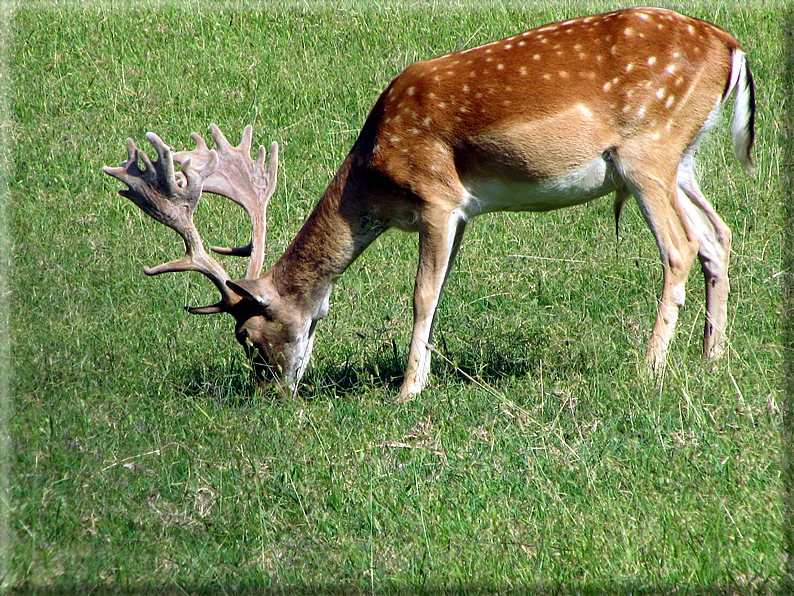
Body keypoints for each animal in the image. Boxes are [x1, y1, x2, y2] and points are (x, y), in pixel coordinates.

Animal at [102, 7, 752, 400]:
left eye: (249, 336)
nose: (273, 395)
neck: (375, 175)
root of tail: (730, 46)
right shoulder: (459, 213)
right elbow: (438, 295)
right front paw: (425, 375)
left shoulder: (438, 198)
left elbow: (420, 295)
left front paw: (407, 390)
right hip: (681, 161)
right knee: (717, 236)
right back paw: (711, 360)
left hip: (648, 151)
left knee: (680, 247)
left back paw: (650, 370)